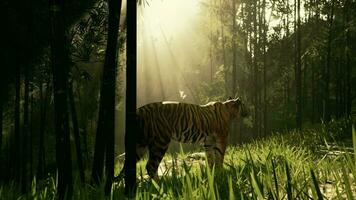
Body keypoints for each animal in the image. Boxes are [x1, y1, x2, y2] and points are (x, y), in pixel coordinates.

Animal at [117, 97, 248, 180]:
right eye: (244, 105)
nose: (248, 112)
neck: (229, 109)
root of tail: (139, 111)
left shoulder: (208, 141)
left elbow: (210, 157)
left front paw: (212, 172)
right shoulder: (222, 137)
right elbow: (219, 155)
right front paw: (221, 171)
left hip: (139, 145)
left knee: (129, 166)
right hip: (160, 142)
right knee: (151, 166)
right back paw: (161, 184)